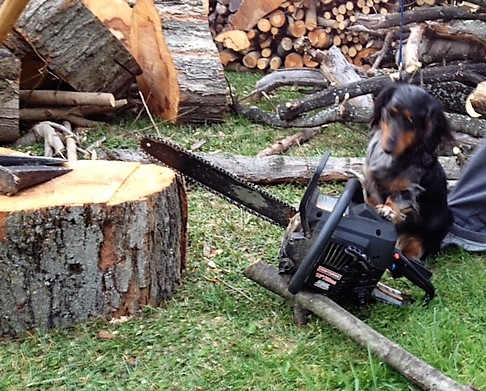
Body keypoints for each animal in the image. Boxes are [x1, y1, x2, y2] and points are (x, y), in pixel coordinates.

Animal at [362, 83, 454, 260]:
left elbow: (395, 197)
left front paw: (387, 209)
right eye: (390, 113)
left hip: (418, 241)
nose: (388, 149)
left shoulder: (411, 189)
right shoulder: (370, 180)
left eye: (411, 120)